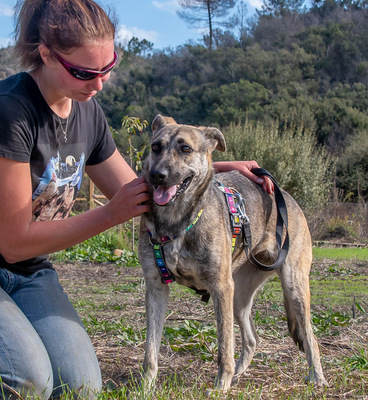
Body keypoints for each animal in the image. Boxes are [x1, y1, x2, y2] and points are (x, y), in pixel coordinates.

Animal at [139, 113, 328, 390]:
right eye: (155, 147)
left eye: (185, 149)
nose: (157, 175)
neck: (178, 220)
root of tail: (285, 196)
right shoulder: (155, 287)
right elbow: (150, 350)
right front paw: (145, 386)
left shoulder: (220, 288)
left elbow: (224, 348)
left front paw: (221, 387)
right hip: (239, 295)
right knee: (252, 338)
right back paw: (240, 373)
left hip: (293, 287)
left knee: (310, 336)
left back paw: (317, 377)